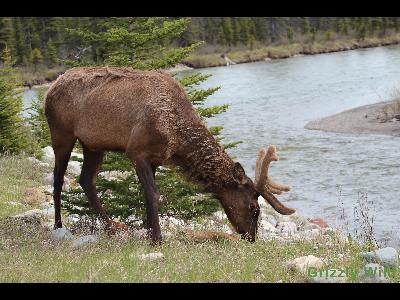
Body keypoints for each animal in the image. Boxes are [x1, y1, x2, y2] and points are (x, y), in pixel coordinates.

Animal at [44, 67, 294, 245]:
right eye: (254, 208)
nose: (251, 237)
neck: (176, 138)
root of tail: (49, 90)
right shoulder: (137, 151)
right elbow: (153, 195)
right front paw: (157, 239)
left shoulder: (155, 158)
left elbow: (146, 197)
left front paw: (149, 233)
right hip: (61, 134)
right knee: (58, 180)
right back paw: (58, 226)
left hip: (93, 145)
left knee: (86, 180)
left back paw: (112, 228)